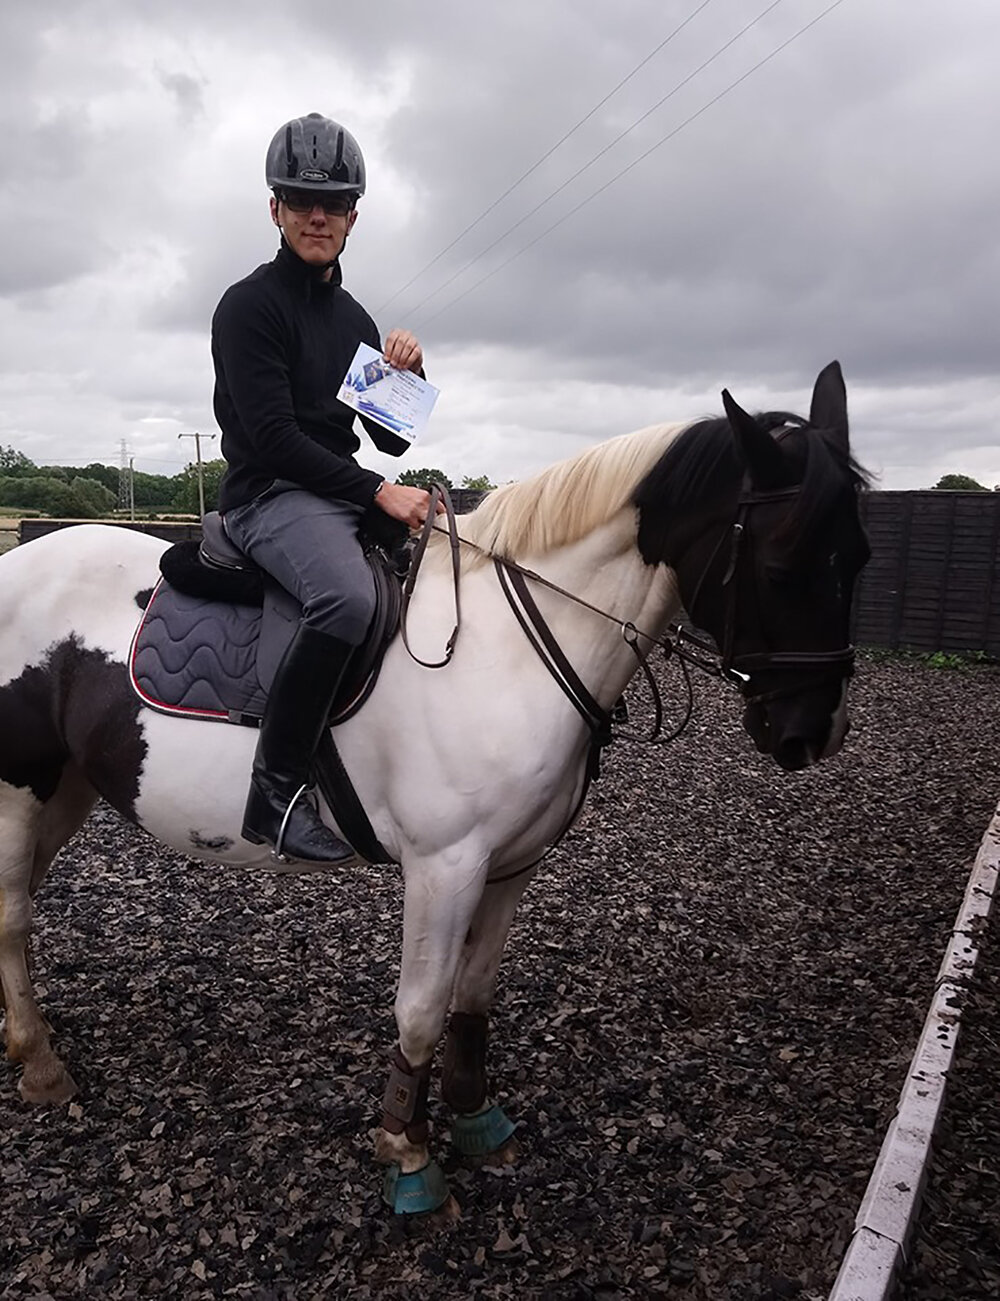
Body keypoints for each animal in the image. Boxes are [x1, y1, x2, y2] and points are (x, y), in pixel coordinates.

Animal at [0, 361, 869, 1217]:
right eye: (783, 563)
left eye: (859, 557)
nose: (812, 733)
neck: (507, 646)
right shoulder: (444, 865)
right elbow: (420, 1007)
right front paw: (408, 1154)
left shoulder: (511, 864)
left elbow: (474, 995)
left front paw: (476, 1115)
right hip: (18, 790)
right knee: (12, 918)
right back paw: (41, 1065)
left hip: (66, 788)